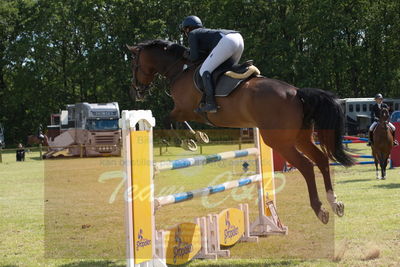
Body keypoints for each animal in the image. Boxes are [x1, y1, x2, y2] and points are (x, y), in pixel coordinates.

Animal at [126, 39, 354, 224]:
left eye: (134, 64)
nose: (136, 91)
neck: (179, 69)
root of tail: (297, 93)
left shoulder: (184, 109)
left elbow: (170, 121)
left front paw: (189, 141)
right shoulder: (186, 111)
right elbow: (177, 122)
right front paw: (198, 137)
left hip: (279, 142)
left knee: (306, 166)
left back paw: (320, 209)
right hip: (300, 138)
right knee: (321, 159)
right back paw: (335, 202)